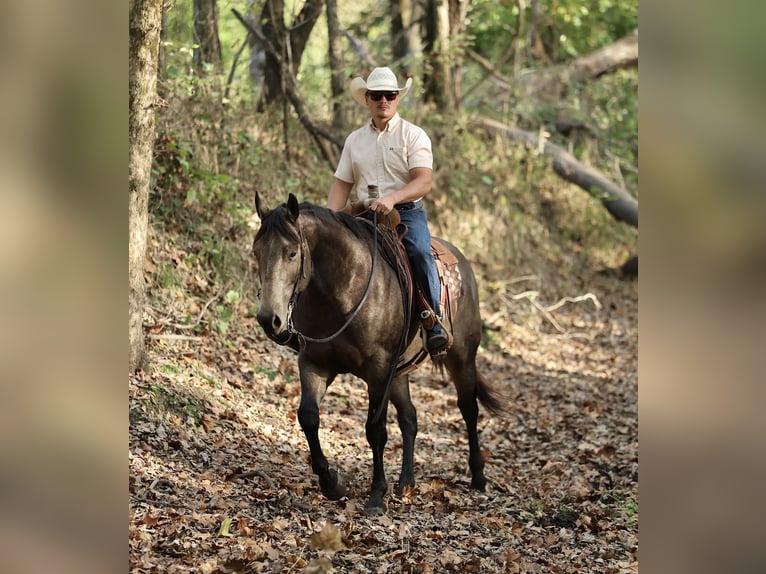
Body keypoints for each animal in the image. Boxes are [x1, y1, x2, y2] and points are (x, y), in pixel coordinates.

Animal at [252, 192, 504, 515]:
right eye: (256, 252)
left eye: (292, 253)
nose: (269, 320)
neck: (341, 289)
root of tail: (462, 261)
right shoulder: (315, 363)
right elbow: (308, 417)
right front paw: (331, 482)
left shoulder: (378, 369)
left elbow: (375, 430)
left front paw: (376, 494)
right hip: (399, 373)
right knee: (410, 417)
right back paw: (406, 483)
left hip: (461, 357)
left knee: (468, 409)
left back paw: (478, 476)